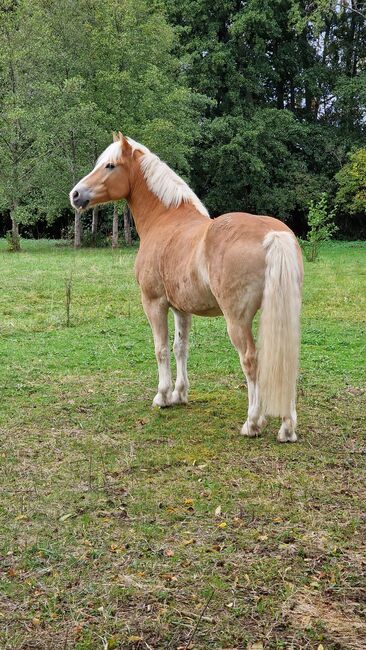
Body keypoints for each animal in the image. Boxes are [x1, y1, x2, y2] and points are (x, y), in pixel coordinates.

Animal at [69, 134, 304, 442]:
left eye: (110, 165)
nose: (75, 195)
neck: (165, 220)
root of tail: (273, 234)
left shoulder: (154, 302)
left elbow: (160, 348)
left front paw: (163, 396)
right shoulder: (181, 308)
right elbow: (181, 347)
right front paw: (180, 394)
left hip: (237, 321)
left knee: (251, 361)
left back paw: (252, 423)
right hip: (282, 315)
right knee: (285, 361)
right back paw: (287, 427)